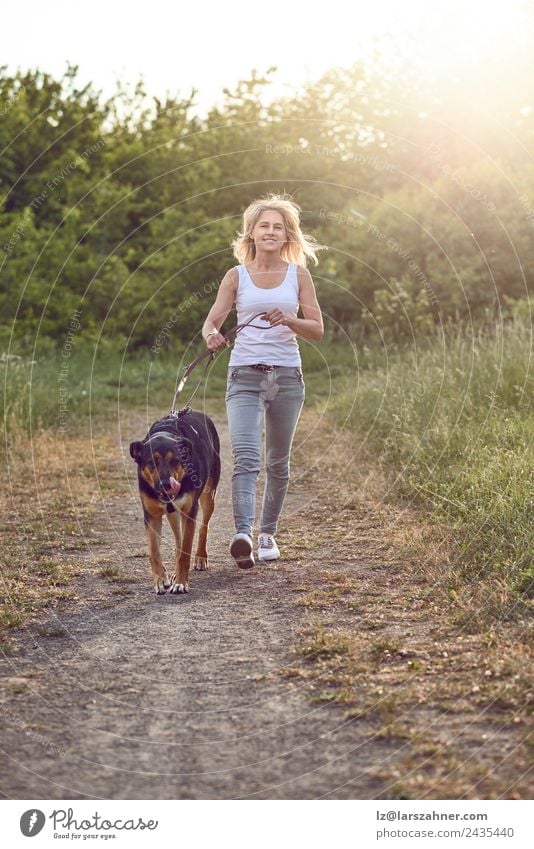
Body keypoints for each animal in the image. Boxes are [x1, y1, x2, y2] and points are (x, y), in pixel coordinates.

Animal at [131, 408, 221, 592]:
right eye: (152, 461)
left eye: (175, 461)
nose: (166, 484)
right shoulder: (151, 515)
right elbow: (154, 551)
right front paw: (160, 580)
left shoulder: (189, 511)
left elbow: (186, 549)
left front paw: (181, 582)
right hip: (172, 513)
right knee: (178, 539)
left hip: (208, 496)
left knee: (203, 526)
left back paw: (201, 557)